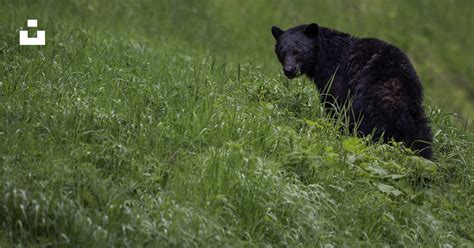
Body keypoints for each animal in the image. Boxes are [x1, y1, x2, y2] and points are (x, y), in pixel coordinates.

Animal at [270, 23, 434, 159]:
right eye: (282, 52)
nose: (289, 70)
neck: (324, 57)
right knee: (422, 139)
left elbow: (335, 105)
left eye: (297, 51)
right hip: (417, 116)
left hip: (368, 103)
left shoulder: (337, 78)